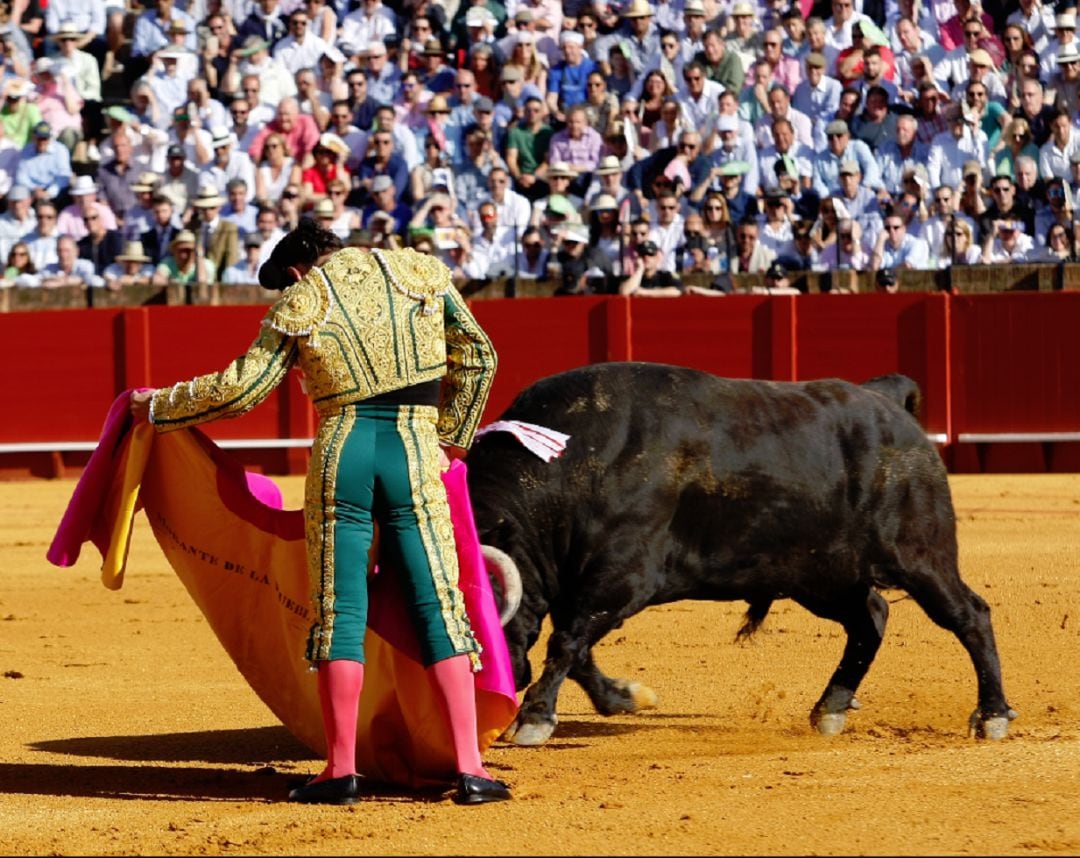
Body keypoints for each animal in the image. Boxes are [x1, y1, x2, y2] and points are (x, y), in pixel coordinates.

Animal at [468, 360, 1015, 743]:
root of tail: (884, 398)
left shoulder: (619, 578)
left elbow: (566, 642)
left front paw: (533, 718)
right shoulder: (582, 586)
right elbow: (578, 650)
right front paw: (625, 698)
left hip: (921, 556)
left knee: (969, 615)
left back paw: (992, 717)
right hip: (822, 576)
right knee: (870, 618)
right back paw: (831, 708)